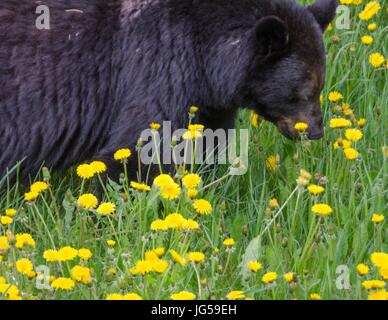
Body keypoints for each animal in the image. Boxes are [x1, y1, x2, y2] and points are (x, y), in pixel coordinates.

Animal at [0, 0, 336, 180]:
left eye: (320, 86)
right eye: (303, 91)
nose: (316, 130)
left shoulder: (208, 98)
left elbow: (210, 137)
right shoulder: (161, 62)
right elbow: (143, 144)